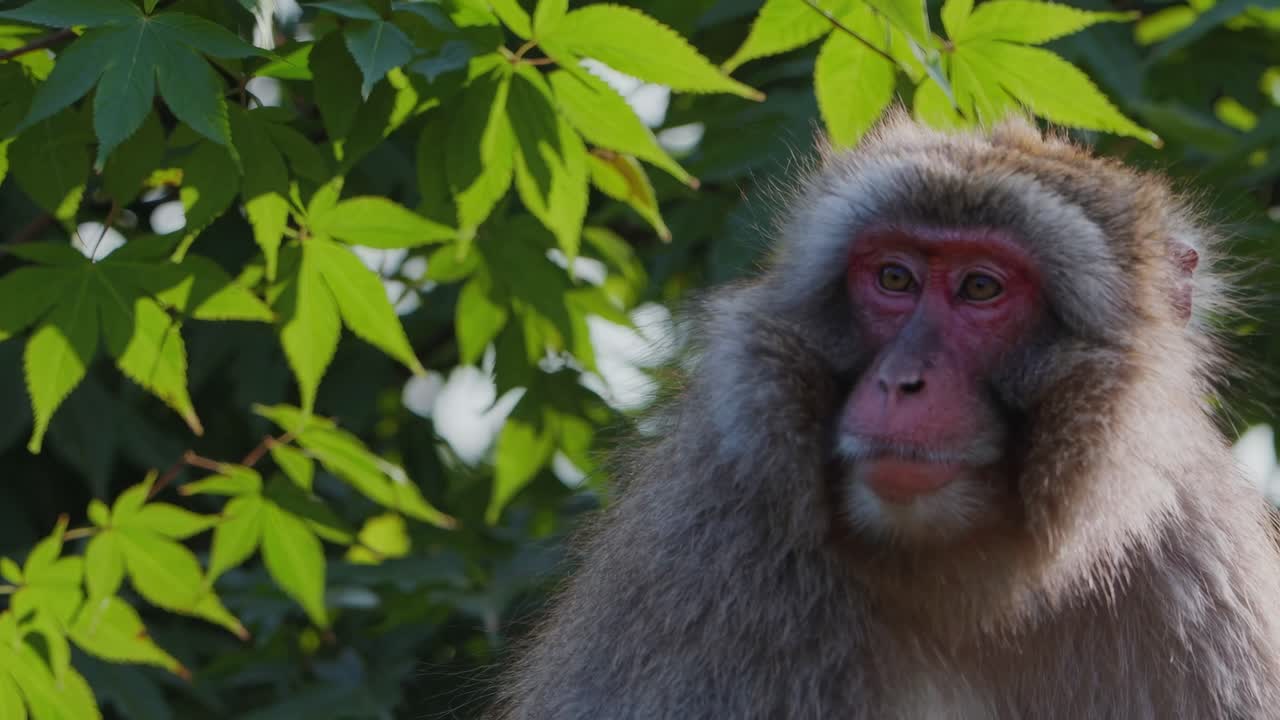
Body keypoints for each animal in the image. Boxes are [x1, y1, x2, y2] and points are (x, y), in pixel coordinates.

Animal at [487, 111, 1280, 719]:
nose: (901, 381)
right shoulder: (710, 557)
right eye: (895, 277)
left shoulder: (1199, 577)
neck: (970, 584)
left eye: (981, 288)